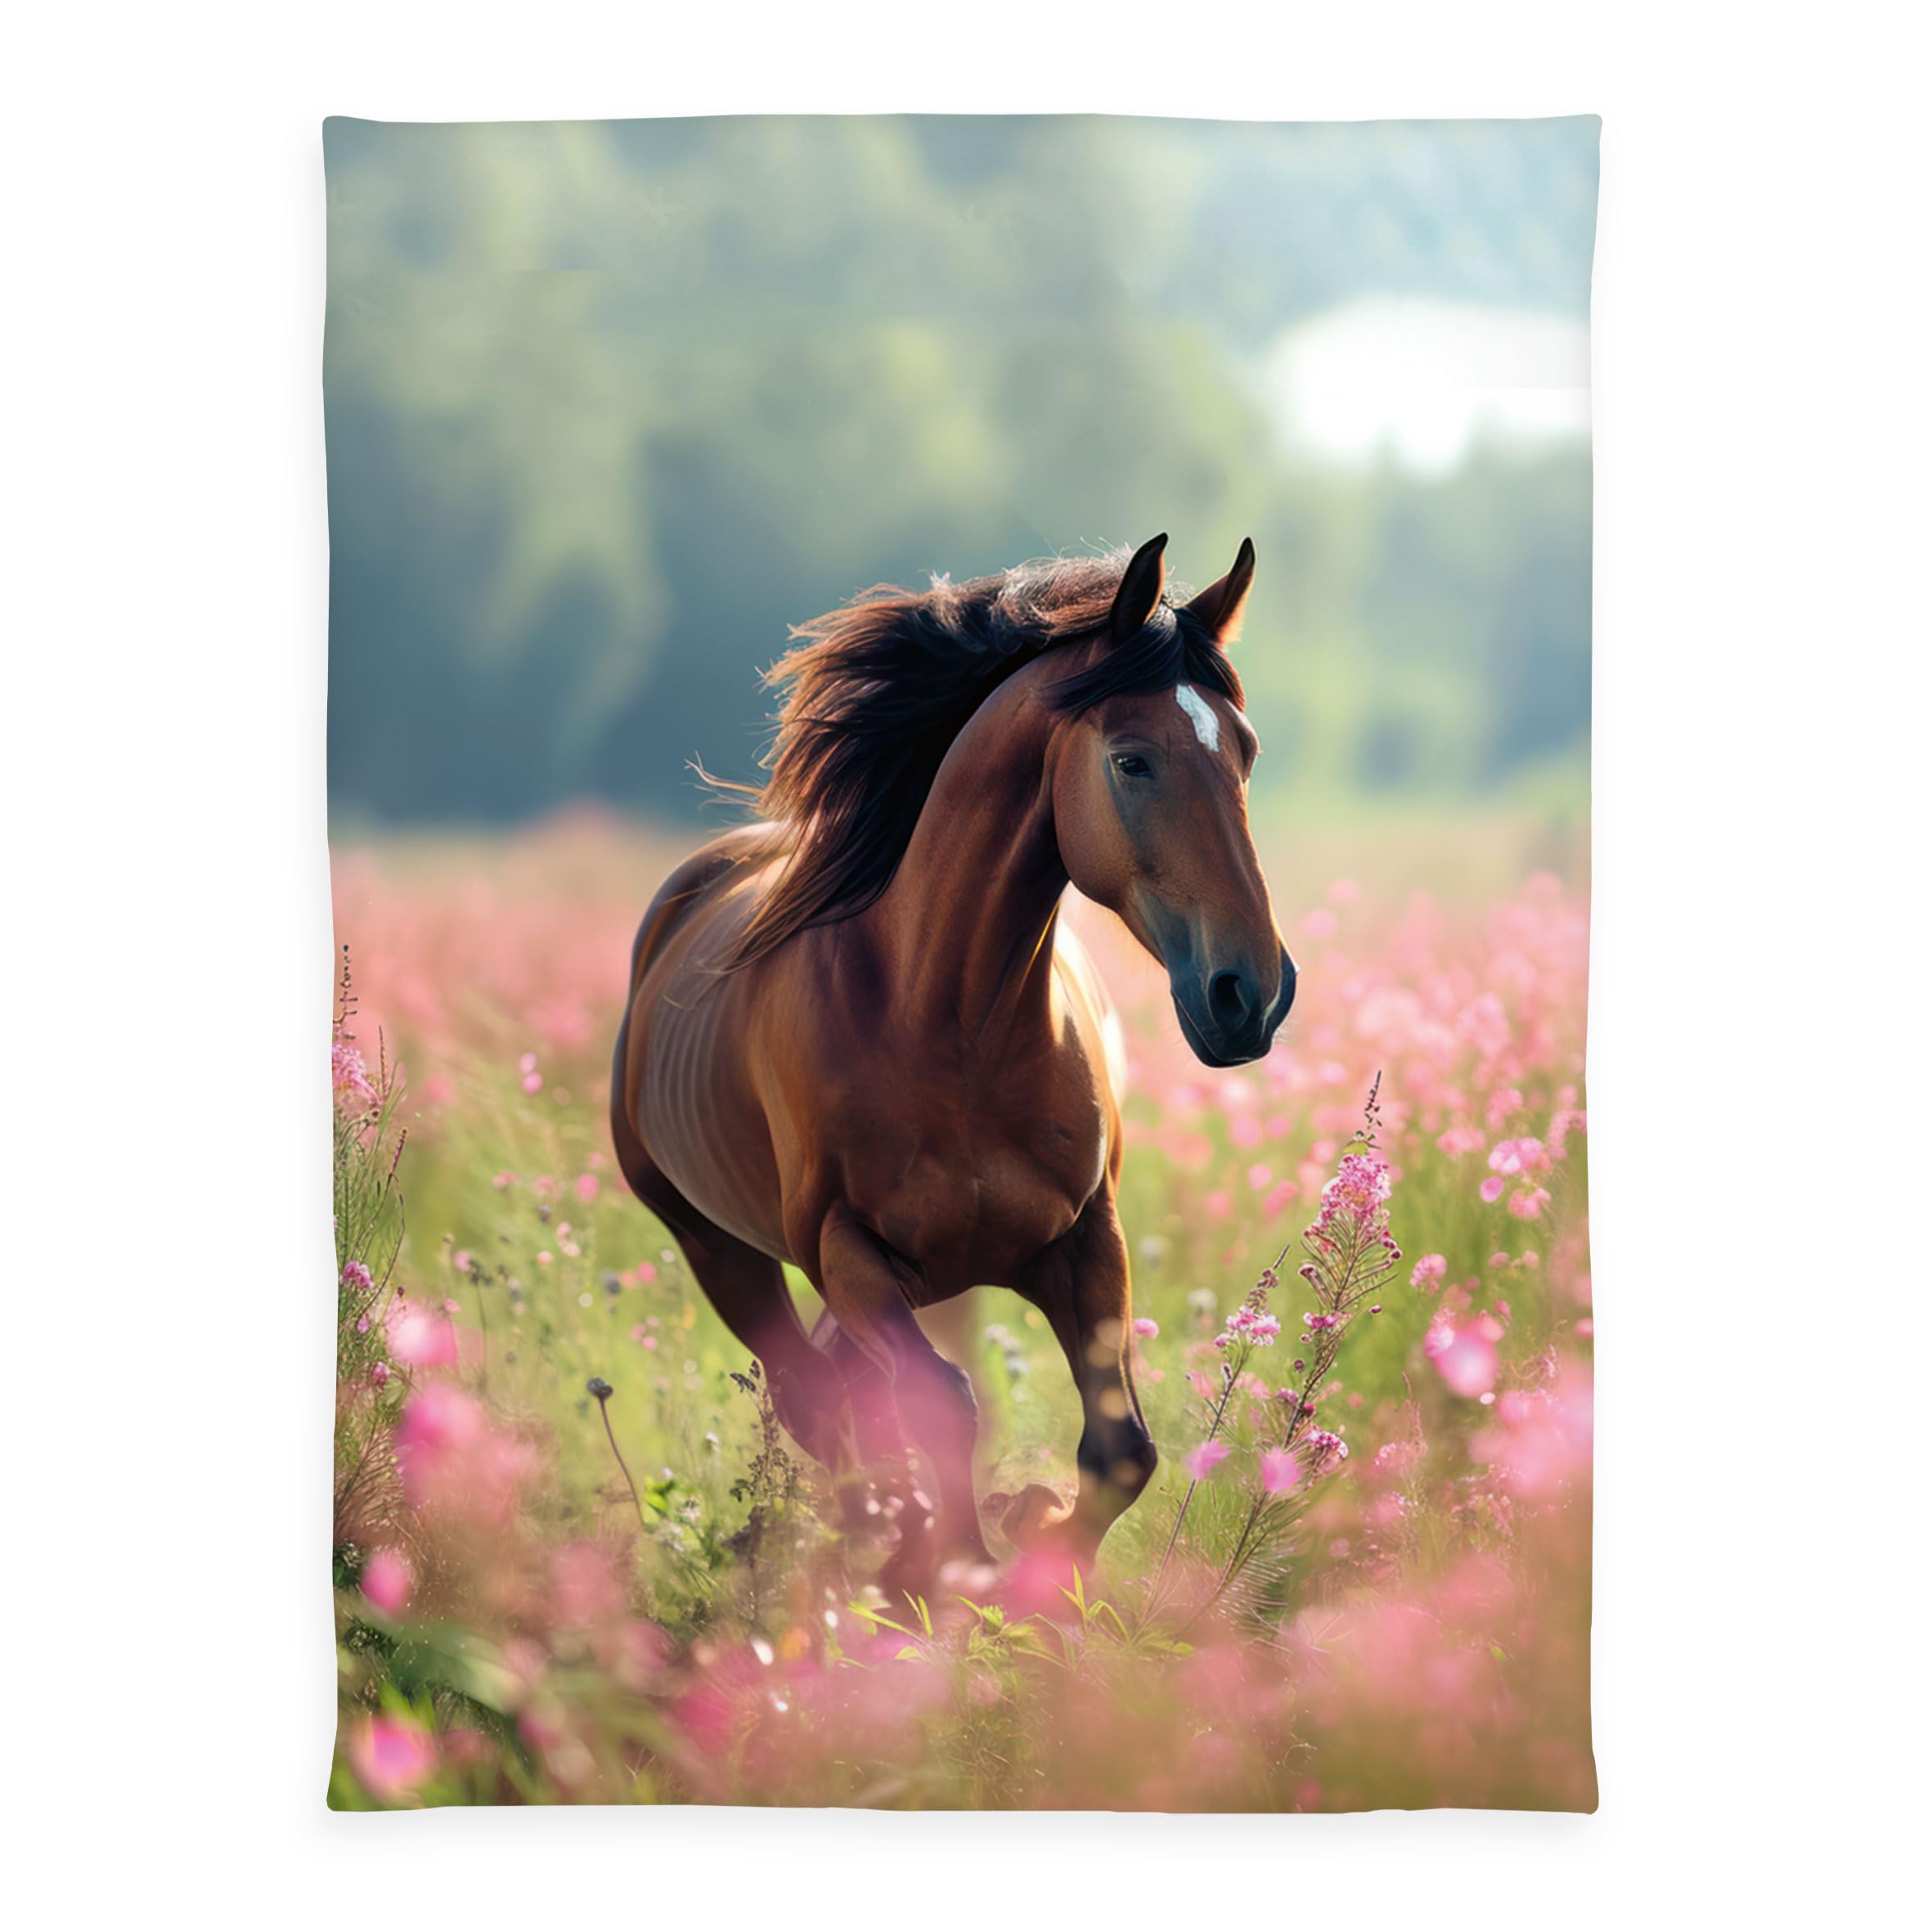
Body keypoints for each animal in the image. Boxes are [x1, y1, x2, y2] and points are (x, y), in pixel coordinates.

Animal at [611, 534, 1294, 1584]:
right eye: (1131, 760)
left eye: (1245, 750)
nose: (1249, 996)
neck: (948, 1026)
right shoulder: (848, 1251)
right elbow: (941, 1406)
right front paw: (962, 1567)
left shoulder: (1083, 1238)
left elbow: (1121, 1448)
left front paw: (1038, 1557)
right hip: (721, 1250)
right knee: (819, 1403)